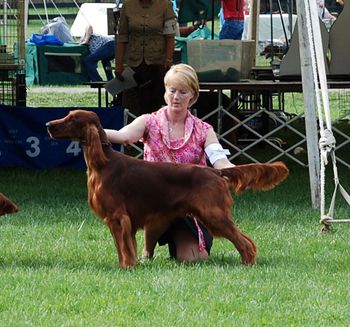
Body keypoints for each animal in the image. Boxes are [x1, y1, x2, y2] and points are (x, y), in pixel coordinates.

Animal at [45, 110, 288, 270]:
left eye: (72, 119)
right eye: (67, 116)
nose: (47, 124)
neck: (103, 162)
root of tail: (216, 172)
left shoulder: (118, 217)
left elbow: (124, 247)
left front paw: (127, 268)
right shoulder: (116, 220)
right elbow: (123, 246)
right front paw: (127, 265)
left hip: (214, 214)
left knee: (244, 241)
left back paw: (248, 263)